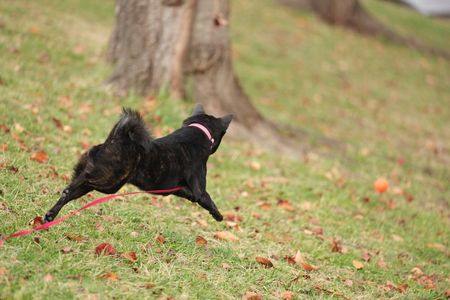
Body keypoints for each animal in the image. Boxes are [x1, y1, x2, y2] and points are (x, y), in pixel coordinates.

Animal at [43, 103, 232, 223]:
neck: (199, 132)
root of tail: (114, 140)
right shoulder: (200, 190)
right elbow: (208, 200)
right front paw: (219, 216)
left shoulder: (177, 189)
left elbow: (189, 194)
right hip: (109, 183)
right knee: (80, 182)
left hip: (103, 181)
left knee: (71, 191)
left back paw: (50, 215)